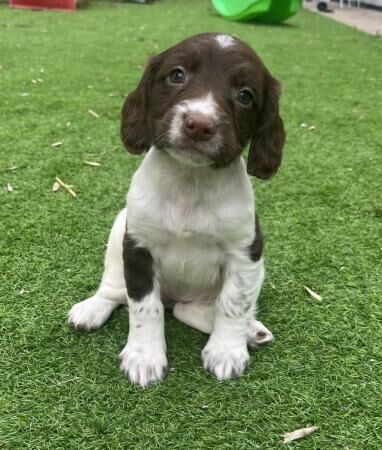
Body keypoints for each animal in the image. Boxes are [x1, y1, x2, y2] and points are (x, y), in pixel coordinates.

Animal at [68, 32, 284, 386]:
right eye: (177, 75)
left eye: (245, 95)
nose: (199, 125)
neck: (189, 181)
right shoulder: (137, 247)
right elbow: (144, 307)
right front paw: (144, 356)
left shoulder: (245, 249)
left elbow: (233, 304)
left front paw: (227, 351)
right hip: (117, 237)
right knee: (115, 292)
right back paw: (92, 308)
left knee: (197, 309)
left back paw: (251, 331)